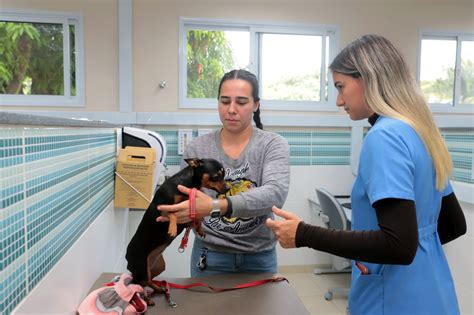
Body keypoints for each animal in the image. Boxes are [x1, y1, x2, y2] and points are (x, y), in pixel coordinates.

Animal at [125, 158, 229, 306]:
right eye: (216, 176)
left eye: (224, 174)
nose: (228, 188)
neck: (188, 184)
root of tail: (127, 256)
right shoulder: (163, 208)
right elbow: (173, 212)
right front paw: (173, 228)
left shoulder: (194, 205)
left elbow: (197, 218)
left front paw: (199, 228)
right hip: (141, 269)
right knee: (135, 284)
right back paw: (146, 299)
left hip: (156, 267)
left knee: (147, 280)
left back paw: (158, 289)